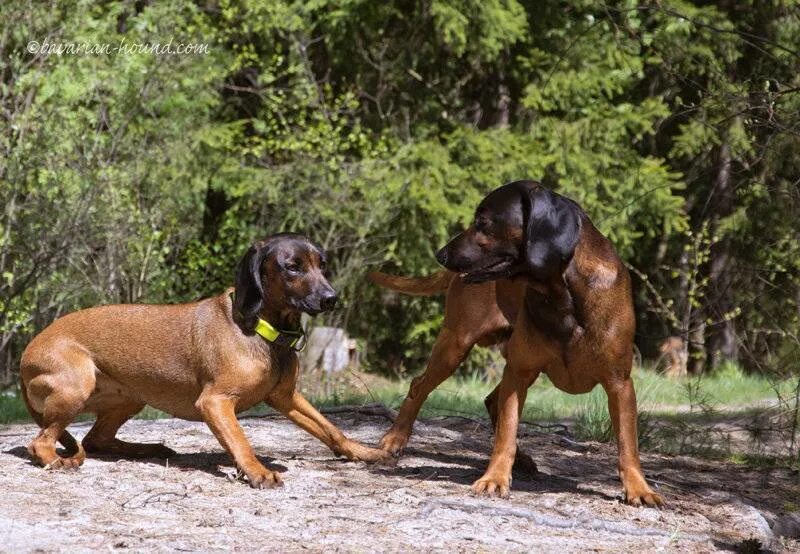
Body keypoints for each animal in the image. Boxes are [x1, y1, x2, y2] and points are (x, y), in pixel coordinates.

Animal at [20, 231, 390, 486]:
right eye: (292, 268)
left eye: (322, 265)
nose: (331, 298)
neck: (262, 332)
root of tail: (25, 357)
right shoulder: (215, 402)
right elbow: (241, 441)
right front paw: (258, 472)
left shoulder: (286, 397)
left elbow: (331, 430)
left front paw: (365, 451)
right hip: (78, 386)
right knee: (41, 442)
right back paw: (57, 460)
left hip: (131, 398)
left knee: (94, 440)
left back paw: (148, 449)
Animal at [372, 180, 664, 504]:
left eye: (483, 222)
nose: (441, 254)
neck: (563, 296)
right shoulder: (519, 372)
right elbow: (507, 431)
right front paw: (495, 477)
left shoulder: (619, 384)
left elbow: (628, 443)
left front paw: (639, 488)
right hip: (457, 344)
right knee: (420, 386)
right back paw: (395, 438)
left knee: (490, 401)